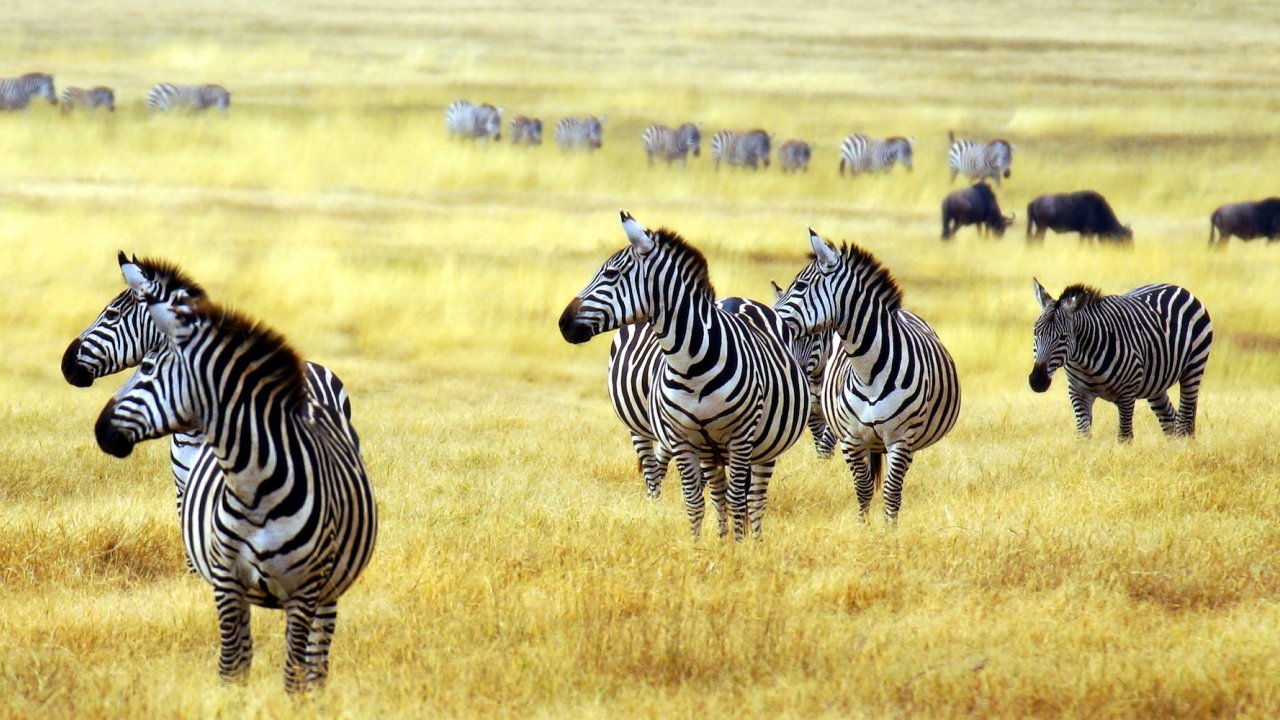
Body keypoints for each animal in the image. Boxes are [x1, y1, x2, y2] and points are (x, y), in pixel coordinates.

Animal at [95, 283, 377, 694]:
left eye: (112, 314)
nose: (100, 430)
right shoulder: (201, 526)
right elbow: (232, 660)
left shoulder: (302, 588)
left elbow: (290, 670)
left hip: (327, 586)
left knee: (316, 657)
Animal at [560, 211, 808, 539]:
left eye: (611, 274)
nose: (563, 323)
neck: (691, 366)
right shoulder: (684, 438)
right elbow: (695, 500)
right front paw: (699, 545)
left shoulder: (740, 437)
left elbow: (737, 499)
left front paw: (738, 548)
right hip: (668, 437)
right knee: (695, 486)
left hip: (763, 446)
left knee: (753, 499)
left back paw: (752, 540)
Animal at [774, 229, 962, 525]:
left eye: (801, 286)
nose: (770, 314)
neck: (868, 372)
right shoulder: (851, 438)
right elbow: (862, 489)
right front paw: (863, 527)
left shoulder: (900, 438)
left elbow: (892, 491)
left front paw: (889, 530)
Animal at [1030, 279, 1213, 441]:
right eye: (1035, 332)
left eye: (1063, 337)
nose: (1037, 381)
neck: (1085, 363)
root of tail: (1177, 287)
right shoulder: (1077, 392)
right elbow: (1083, 436)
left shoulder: (1127, 394)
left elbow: (1125, 437)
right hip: (1156, 384)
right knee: (1170, 421)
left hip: (1193, 369)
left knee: (1184, 420)